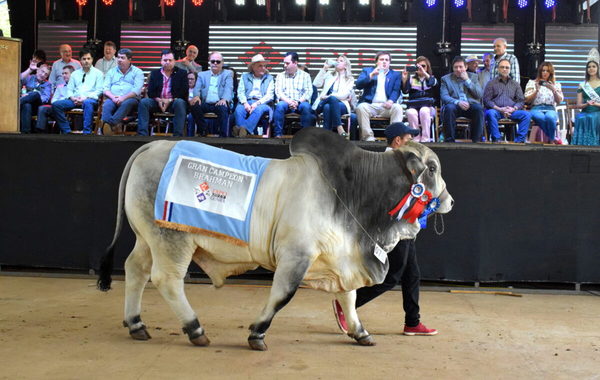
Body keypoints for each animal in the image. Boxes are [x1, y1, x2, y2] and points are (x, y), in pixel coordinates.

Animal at [98, 127, 452, 350]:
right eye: (433, 168)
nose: (449, 200)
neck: (351, 189)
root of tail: (151, 146)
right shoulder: (296, 255)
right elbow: (283, 294)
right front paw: (257, 333)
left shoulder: (341, 253)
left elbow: (348, 297)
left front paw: (360, 331)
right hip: (171, 239)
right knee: (167, 280)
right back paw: (194, 328)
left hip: (147, 237)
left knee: (135, 270)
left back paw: (136, 324)